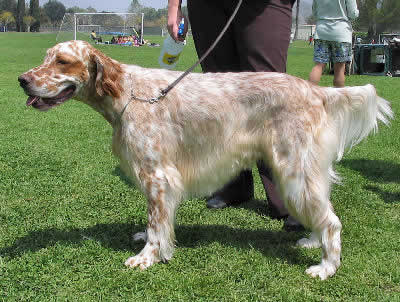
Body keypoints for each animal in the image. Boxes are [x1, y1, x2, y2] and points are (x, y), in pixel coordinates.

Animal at [18, 41, 394, 280]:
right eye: (47, 57)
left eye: (62, 61)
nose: (22, 80)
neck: (127, 92)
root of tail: (316, 90)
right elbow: (155, 223)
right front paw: (146, 240)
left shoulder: (157, 176)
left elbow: (157, 224)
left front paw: (147, 257)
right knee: (323, 213)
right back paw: (313, 242)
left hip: (294, 171)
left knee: (332, 221)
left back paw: (326, 267)